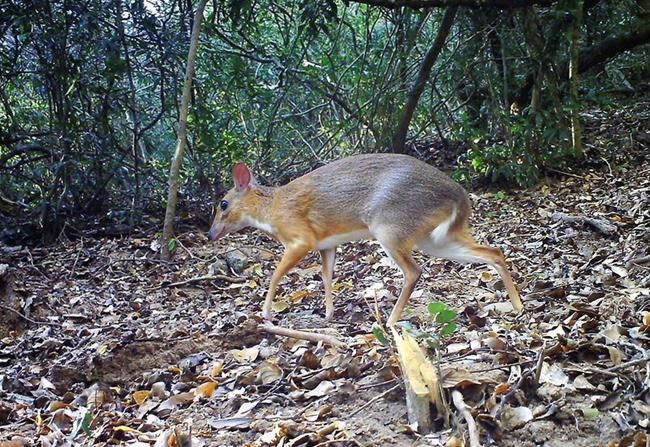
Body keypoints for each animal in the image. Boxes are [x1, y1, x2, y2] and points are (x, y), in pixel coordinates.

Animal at [208, 153, 523, 327]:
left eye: (223, 204)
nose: (211, 234)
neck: (271, 210)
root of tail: (459, 194)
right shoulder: (326, 244)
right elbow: (326, 276)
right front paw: (328, 314)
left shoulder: (300, 238)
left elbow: (275, 274)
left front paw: (266, 312)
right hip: (434, 238)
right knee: (493, 252)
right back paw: (518, 306)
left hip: (390, 226)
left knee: (414, 271)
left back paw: (391, 321)